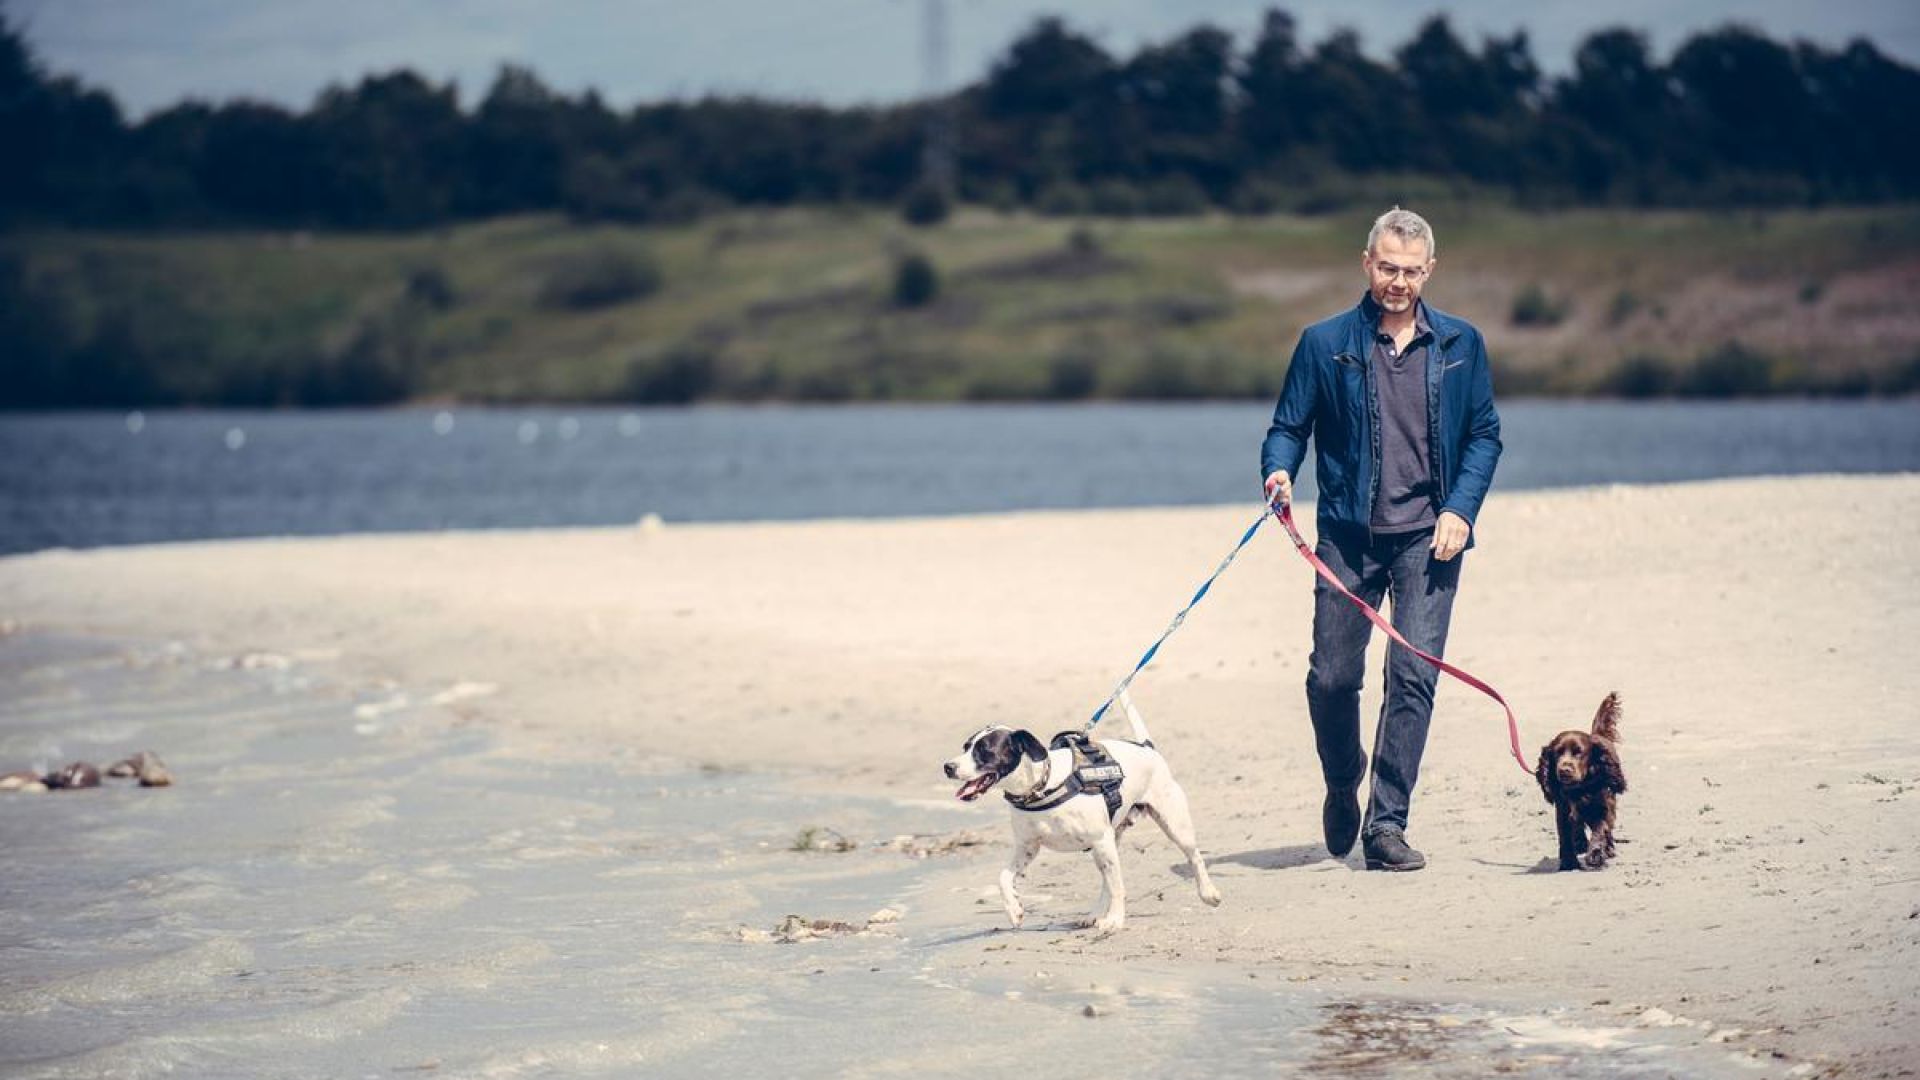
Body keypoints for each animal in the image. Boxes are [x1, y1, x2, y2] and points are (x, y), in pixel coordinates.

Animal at [940, 691, 1221, 930]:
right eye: (965, 747)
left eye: (984, 750)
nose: (947, 767)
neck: (1044, 785)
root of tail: (1146, 747)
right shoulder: (1027, 847)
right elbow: (1003, 878)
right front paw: (1014, 910)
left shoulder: (1100, 839)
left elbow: (1118, 887)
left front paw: (1116, 921)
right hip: (1106, 845)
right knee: (1107, 882)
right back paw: (1095, 914)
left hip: (1170, 825)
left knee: (1193, 857)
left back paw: (1208, 893)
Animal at [1536, 691, 1628, 868]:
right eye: (1557, 753)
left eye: (1579, 752)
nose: (1564, 770)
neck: (1578, 789)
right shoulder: (1563, 809)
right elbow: (1565, 835)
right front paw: (1568, 861)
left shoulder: (1602, 806)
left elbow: (1600, 829)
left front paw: (1596, 854)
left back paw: (1608, 848)